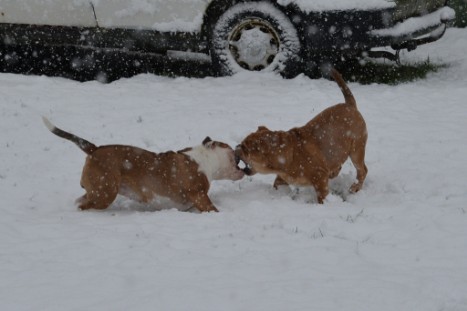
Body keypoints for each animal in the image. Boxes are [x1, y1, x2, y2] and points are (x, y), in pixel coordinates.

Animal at [43, 118, 245, 213]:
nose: (238, 148)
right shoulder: (200, 196)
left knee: (79, 201)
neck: (205, 159)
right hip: (105, 193)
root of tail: (94, 149)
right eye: (229, 148)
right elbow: (213, 209)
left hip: (97, 190)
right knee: (85, 206)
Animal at [238, 69, 370, 205]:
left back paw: (355, 187)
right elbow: (277, 184)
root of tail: (350, 105)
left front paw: (324, 204)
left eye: (244, 147)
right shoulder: (283, 177)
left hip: (356, 151)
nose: (237, 147)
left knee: (362, 170)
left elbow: (322, 195)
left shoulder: (319, 177)